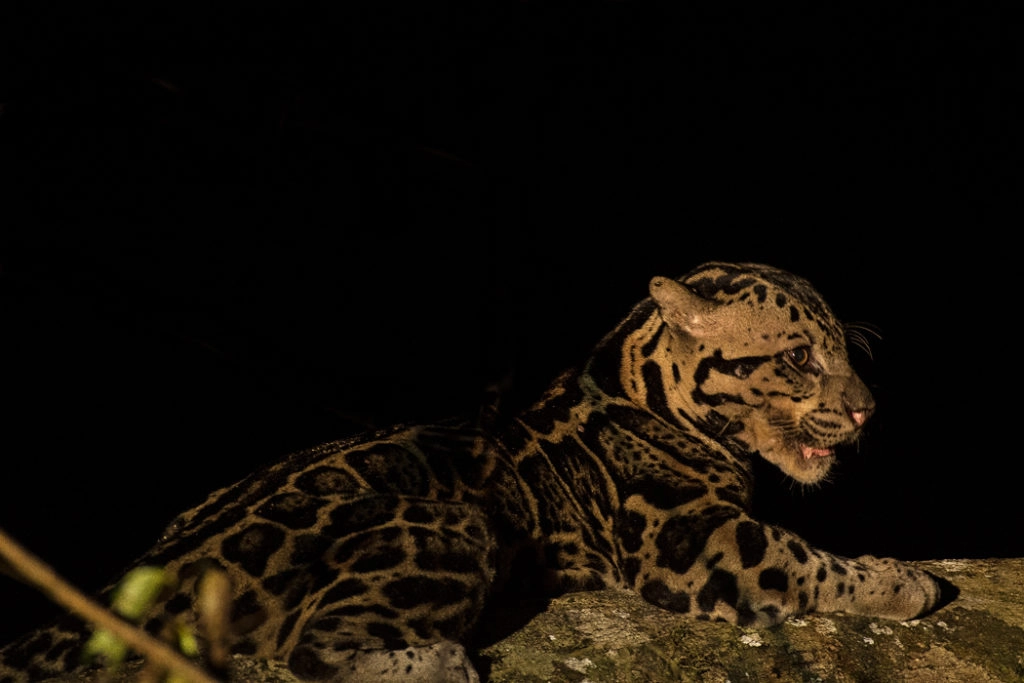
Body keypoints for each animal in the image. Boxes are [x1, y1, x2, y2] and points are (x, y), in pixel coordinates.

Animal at [0, 261, 956, 682]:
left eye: (846, 354)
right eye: (798, 357)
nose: (868, 410)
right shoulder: (692, 540)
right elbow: (806, 558)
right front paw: (901, 580)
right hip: (453, 521)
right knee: (302, 654)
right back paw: (439, 660)